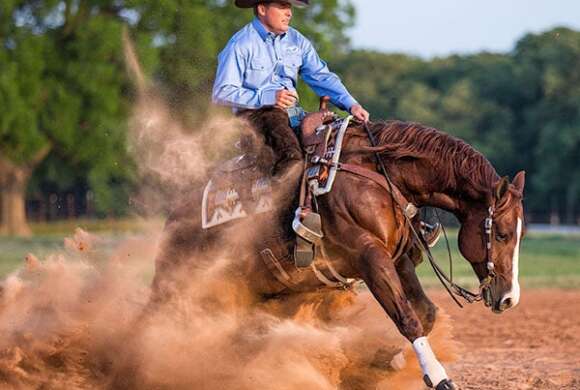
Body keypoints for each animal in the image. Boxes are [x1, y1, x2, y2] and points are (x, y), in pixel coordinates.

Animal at [148, 107, 524, 390]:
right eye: (503, 234)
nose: (509, 298)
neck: (377, 174)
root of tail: (174, 218)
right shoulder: (369, 256)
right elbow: (405, 316)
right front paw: (439, 376)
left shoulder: (398, 259)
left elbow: (424, 313)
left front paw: (389, 362)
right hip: (180, 288)